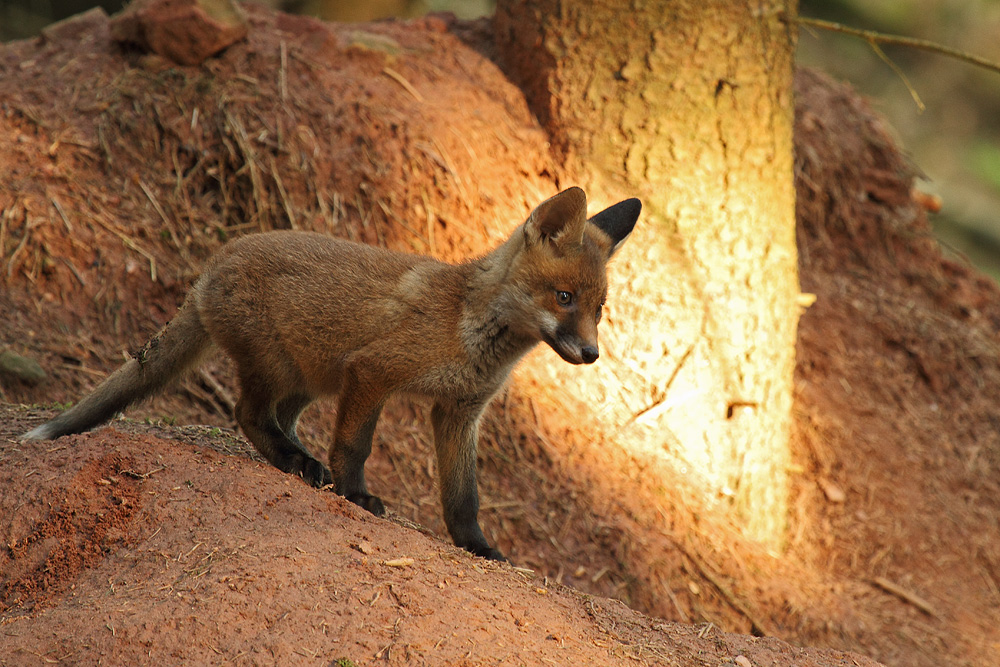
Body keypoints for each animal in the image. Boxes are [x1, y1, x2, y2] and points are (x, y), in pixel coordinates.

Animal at [21, 185, 640, 560]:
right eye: (563, 298)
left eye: (599, 308)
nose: (591, 354)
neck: (471, 332)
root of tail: (212, 264)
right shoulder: (373, 373)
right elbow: (356, 447)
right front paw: (355, 495)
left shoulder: (459, 412)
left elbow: (463, 497)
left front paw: (478, 547)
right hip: (281, 368)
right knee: (247, 414)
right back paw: (298, 463)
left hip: (311, 380)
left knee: (277, 420)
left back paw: (298, 461)